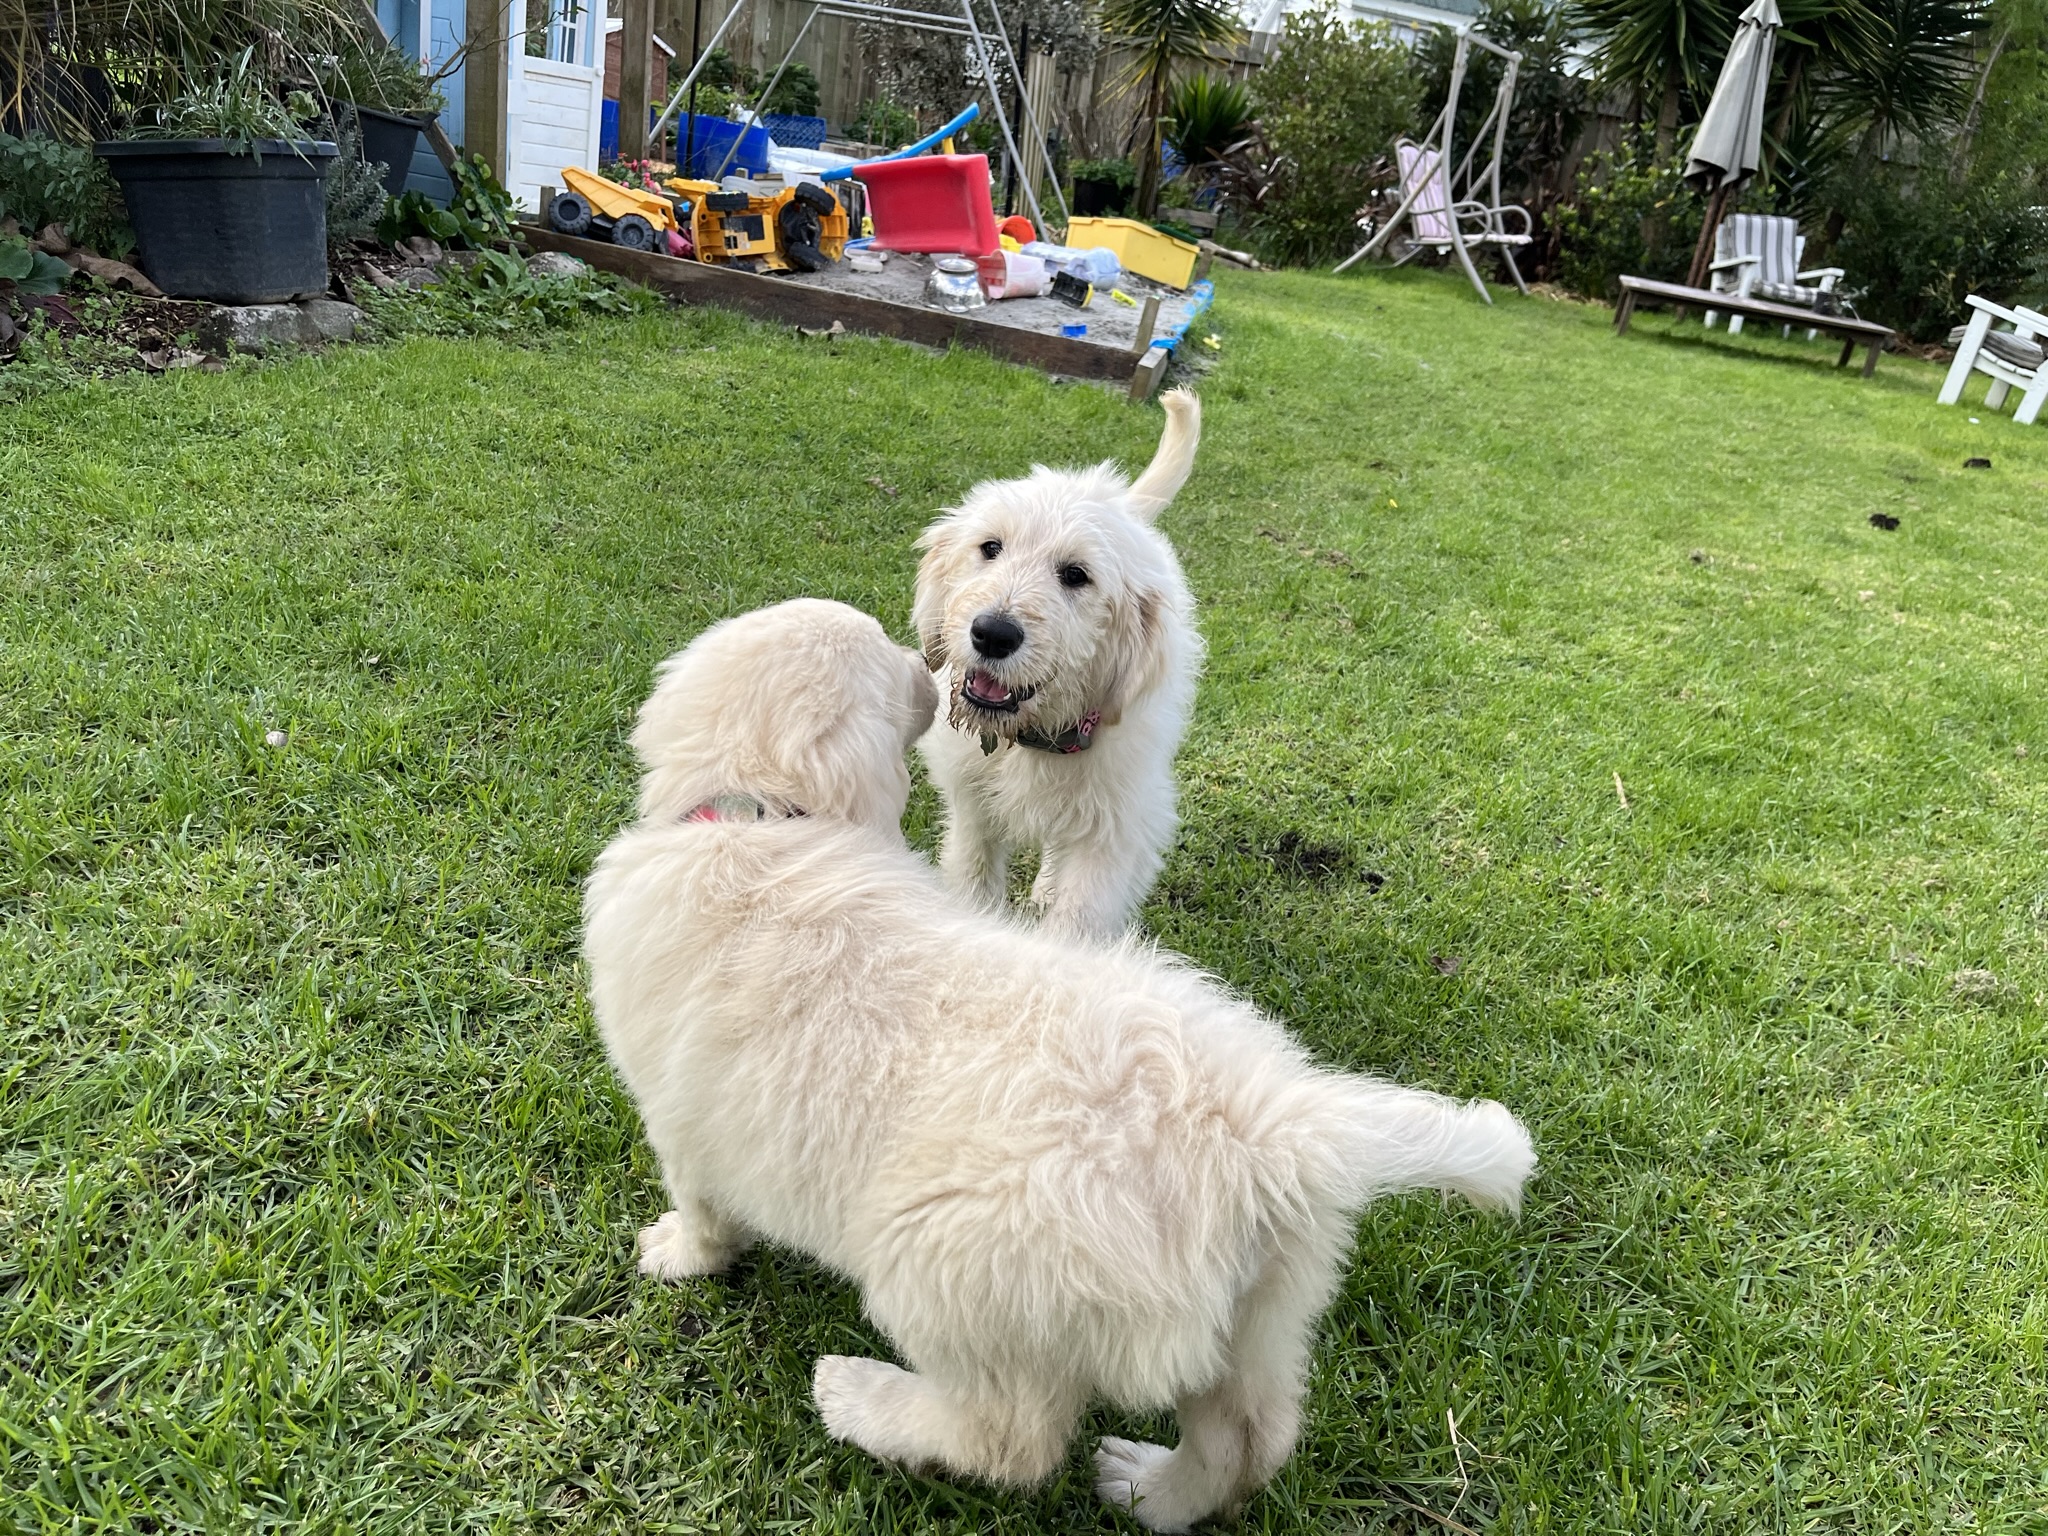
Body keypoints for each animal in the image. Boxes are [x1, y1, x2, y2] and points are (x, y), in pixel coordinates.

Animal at [577, 593, 1540, 1531]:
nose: (934, 663)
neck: (759, 818)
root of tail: (1277, 1130)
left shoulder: (680, 1117)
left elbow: (703, 1210)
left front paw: (674, 1254)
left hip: (947, 1269)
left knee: (1015, 1441)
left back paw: (860, 1398)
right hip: (1262, 1310)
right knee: (1251, 1440)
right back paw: (1148, 1491)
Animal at [909, 387, 1196, 937]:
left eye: (1076, 575)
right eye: (991, 548)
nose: (992, 634)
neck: (1036, 737)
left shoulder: (1114, 832)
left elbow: (1077, 921)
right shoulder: (972, 808)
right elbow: (973, 880)